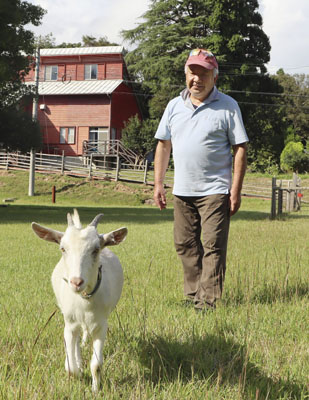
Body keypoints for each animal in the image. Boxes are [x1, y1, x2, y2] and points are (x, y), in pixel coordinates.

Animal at [31, 211, 126, 392]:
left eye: (96, 249)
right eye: (63, 248)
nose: (76, 282)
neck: (85, 300)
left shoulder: (101, 326)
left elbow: (97, 365)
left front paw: (95, 389)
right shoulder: (69, 324)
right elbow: (70, 367)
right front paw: (78, 373)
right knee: (75, 344)